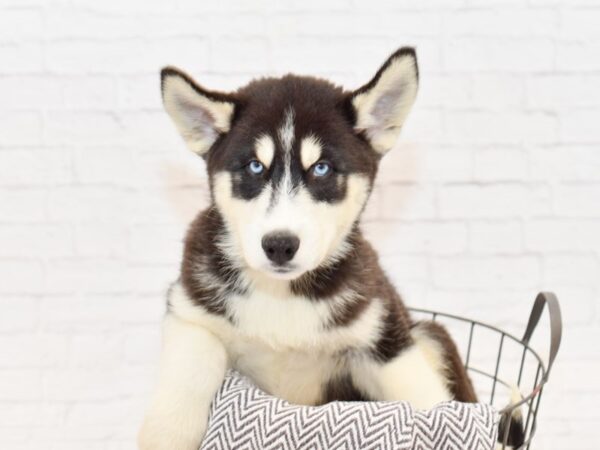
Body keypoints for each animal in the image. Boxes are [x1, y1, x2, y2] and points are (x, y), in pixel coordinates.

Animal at [138, 47, 500, 448]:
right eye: (254, 166)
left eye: (322, 168)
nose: (280, 245)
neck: (282, 295)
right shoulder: (190, 310)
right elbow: (188, 374)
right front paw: (168, 432)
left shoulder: (384, 339)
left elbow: (427, 399)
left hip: (428, 333)